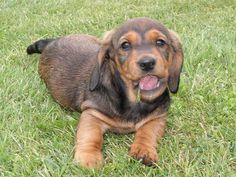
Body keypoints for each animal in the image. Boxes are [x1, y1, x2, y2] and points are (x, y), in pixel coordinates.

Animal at [26, 17, 183, 168]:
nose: (147, 63)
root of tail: (52, 42)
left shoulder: (157, 117)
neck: (134, 100)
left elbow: (147, 133)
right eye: (125, 45)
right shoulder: (92, 114)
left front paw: (143, 151)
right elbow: (91, 136)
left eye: (160, 42)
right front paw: (89, 157)